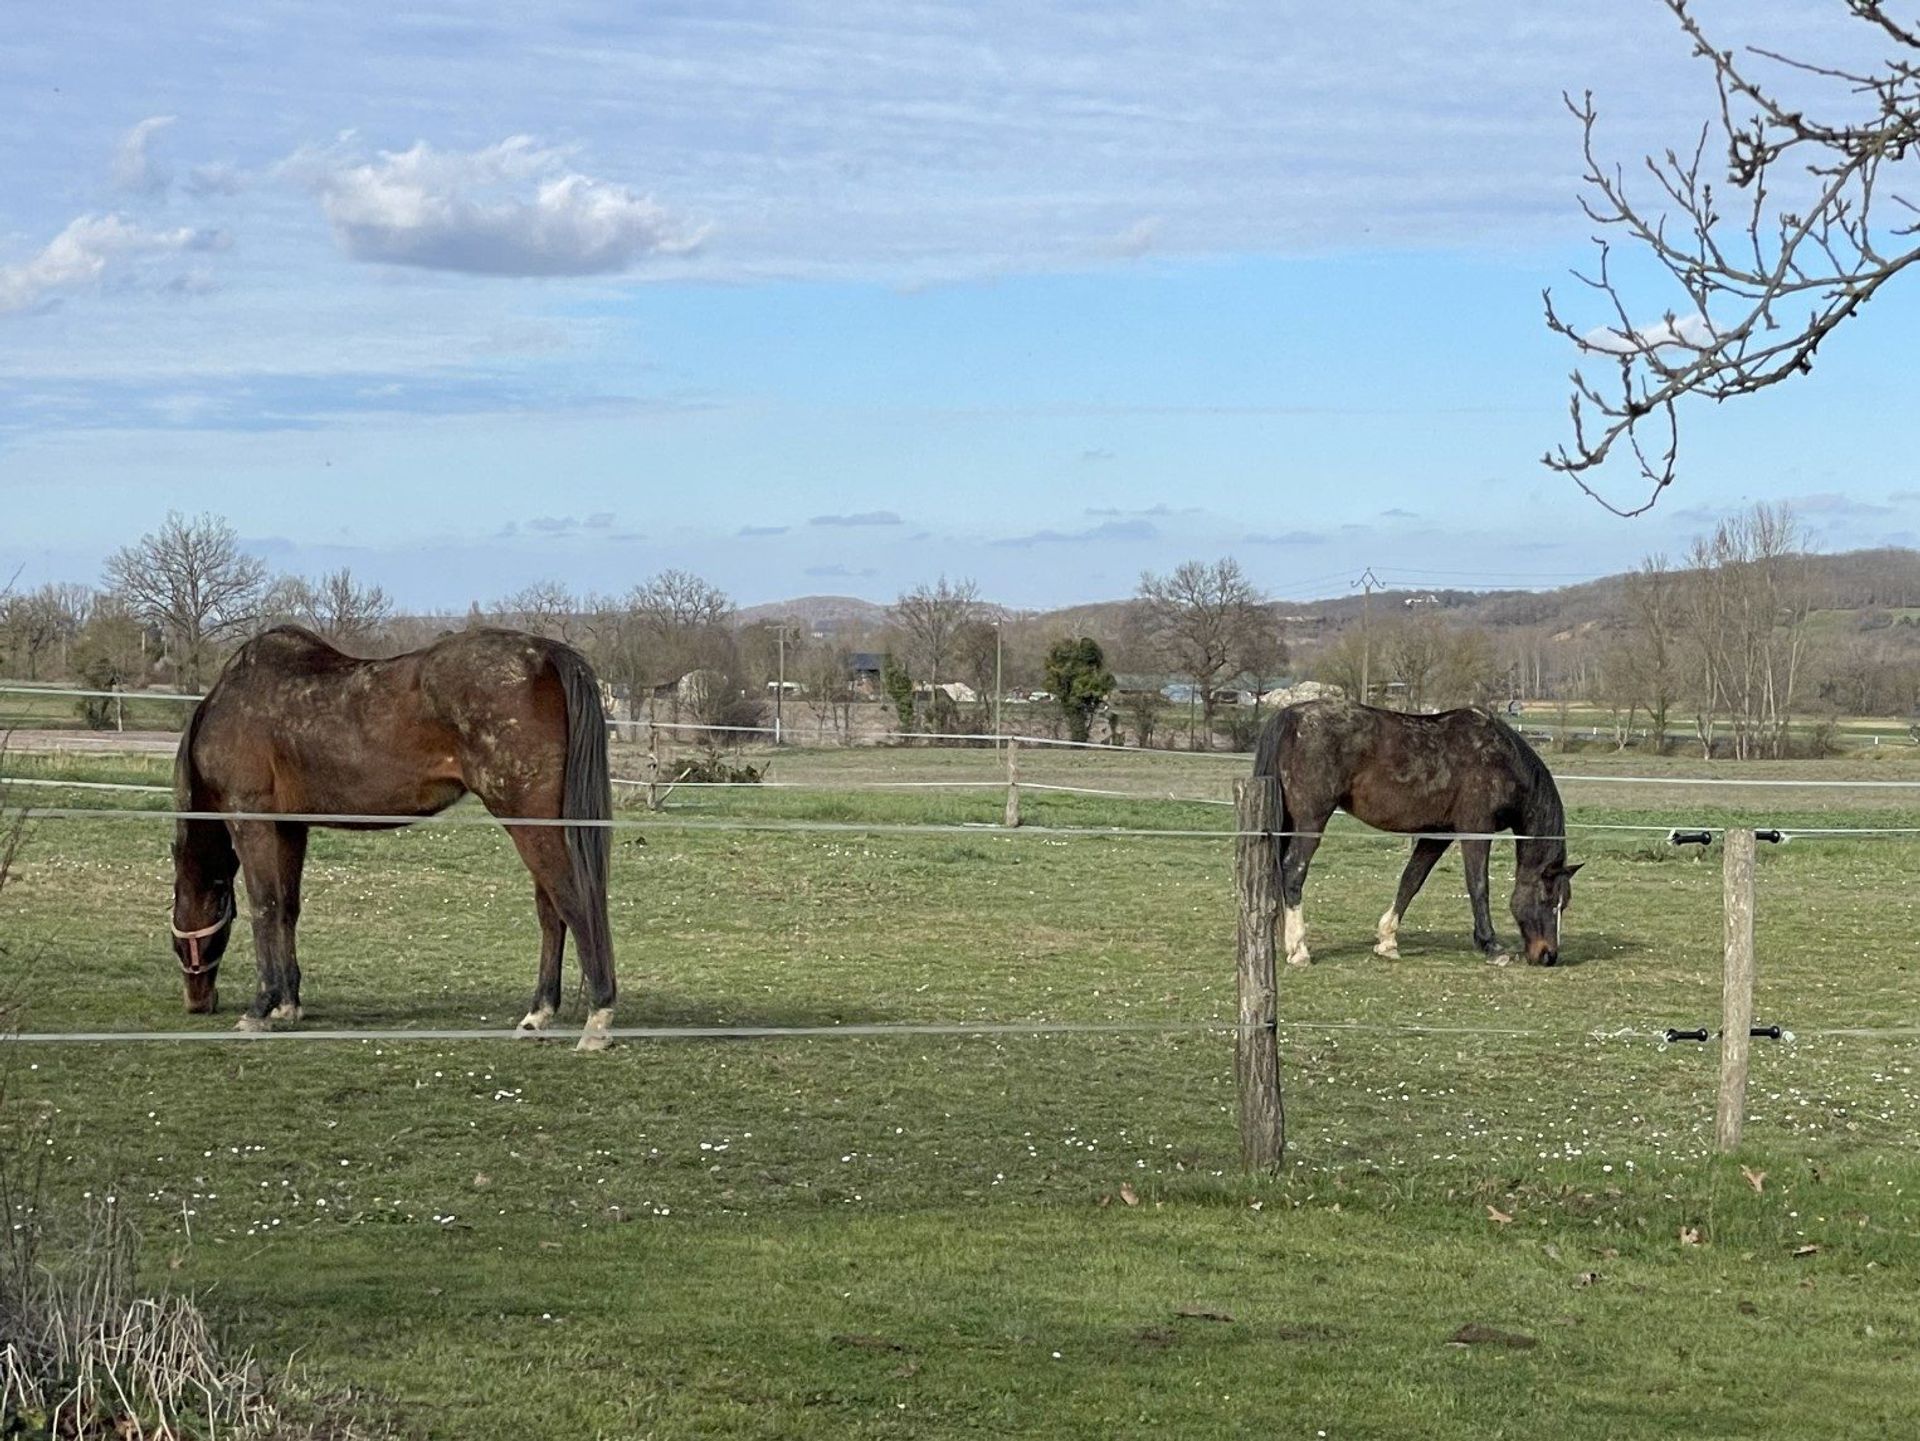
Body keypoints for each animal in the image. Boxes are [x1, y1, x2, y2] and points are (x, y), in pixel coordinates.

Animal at [168, 629, 614, 1051]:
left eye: (178, 940)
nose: (197, 1003)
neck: (233, 700)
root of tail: (547, 655)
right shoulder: (291, 826)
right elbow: (287, 909)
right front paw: (287, 1004)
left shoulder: (250, 818)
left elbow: (264, 907)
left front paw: (260, 1009)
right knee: (551, 912)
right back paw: (538, 1014)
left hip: (531, 823)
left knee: (573, 903)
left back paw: (598, 1019)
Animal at [1251, 698, 1582, 970]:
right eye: (1548, 898)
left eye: (1563, 903)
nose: (1548, 955)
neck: (1499, 758)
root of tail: (1291, 717)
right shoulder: (1476, 829)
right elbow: (1478, 885)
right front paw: (1491, 946)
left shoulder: (1437, 834)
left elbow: (1411, 880)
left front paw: (1387, 941)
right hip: (1311, 820)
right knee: (1294, 872)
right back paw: (1299, 949)